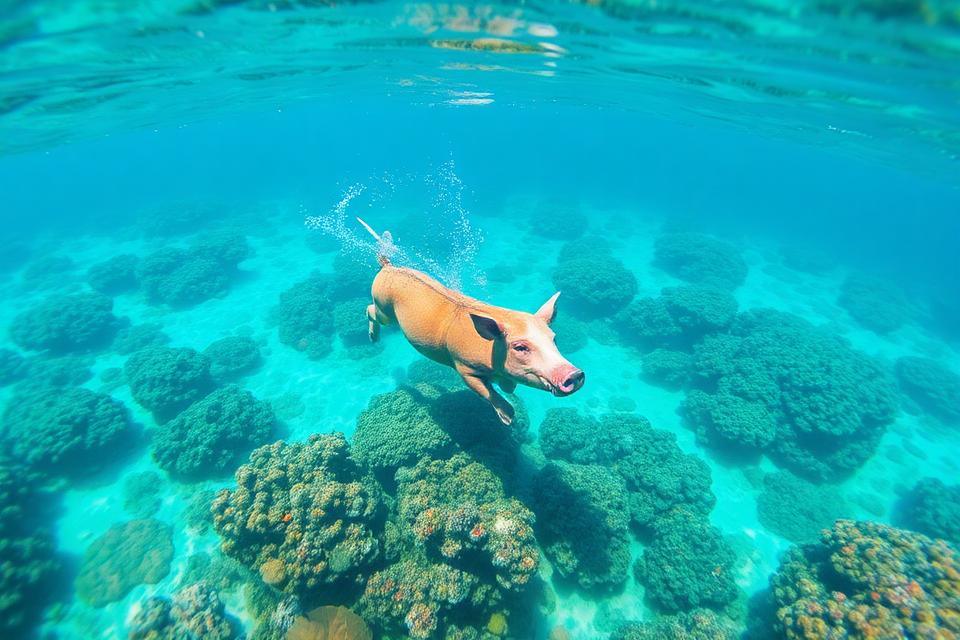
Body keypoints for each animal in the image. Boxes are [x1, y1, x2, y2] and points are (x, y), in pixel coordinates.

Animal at [358, 218, 585, 425]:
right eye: (520, 347)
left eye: (554, 339)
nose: (574, 374)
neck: (492, 351)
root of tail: (387, 267)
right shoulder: (463, 366)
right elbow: (485, 391)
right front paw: (509, 419)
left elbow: (507, 386)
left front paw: (509, 388)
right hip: (384, 307)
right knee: (370, 310)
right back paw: (372, 338)